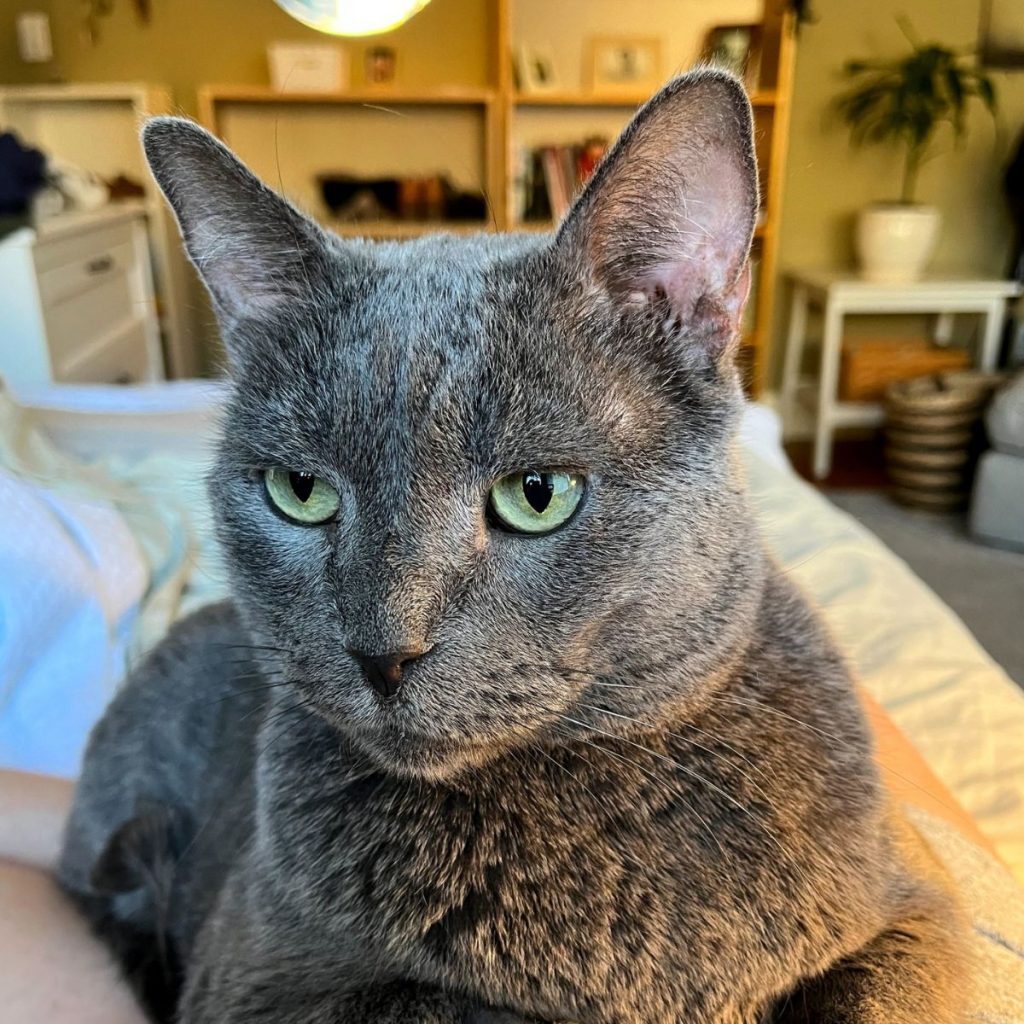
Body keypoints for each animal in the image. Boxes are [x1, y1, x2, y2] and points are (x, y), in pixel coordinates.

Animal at [58, 74, 966, 1024]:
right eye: (301, 491)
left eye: (538, 494)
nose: (383, 652)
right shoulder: (244, 986)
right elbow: (438, 1001)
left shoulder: (918, 909)